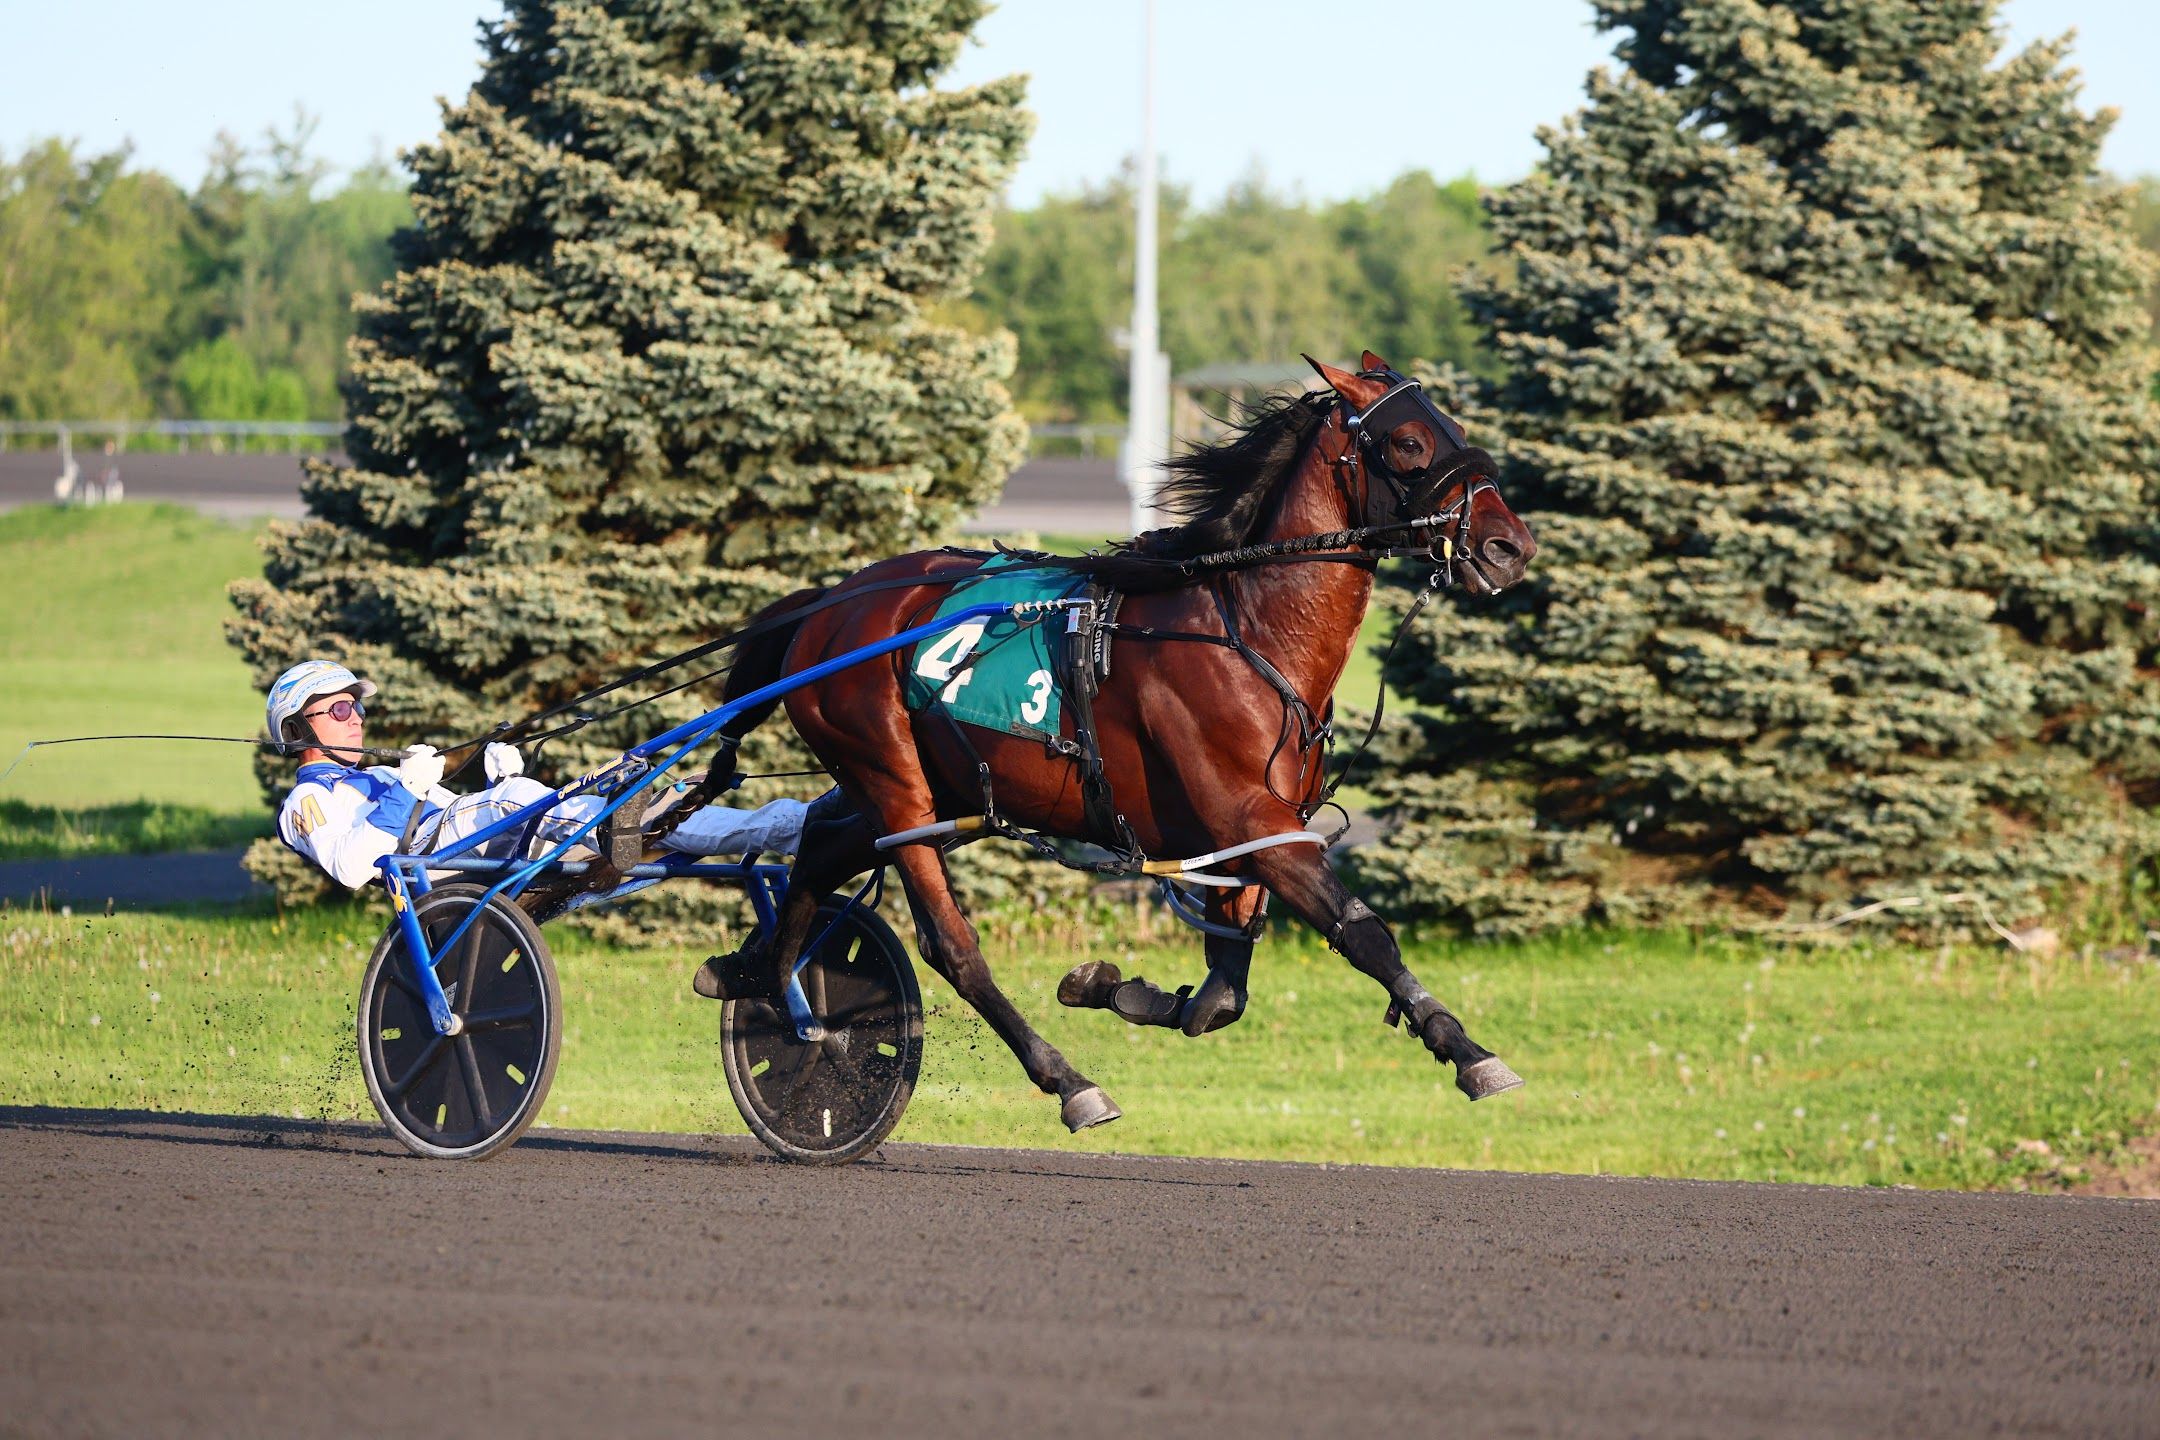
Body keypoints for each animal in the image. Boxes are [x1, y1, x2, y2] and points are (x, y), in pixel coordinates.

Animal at [708, 354, 1537, 1131]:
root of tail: (828, 604)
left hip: (935, 791)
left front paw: (1107, 985)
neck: (1247, 630)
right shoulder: (1250, 819)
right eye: (1408, 442)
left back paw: (767, 987)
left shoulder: (1242, 839)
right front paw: (1469, 1051)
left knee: (822, 843)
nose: (1510, 547)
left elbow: (1220, 997)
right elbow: (1363, 934)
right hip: (894, 784)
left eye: (1458, 428)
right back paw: (1066, 1081)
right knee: (950, 944)